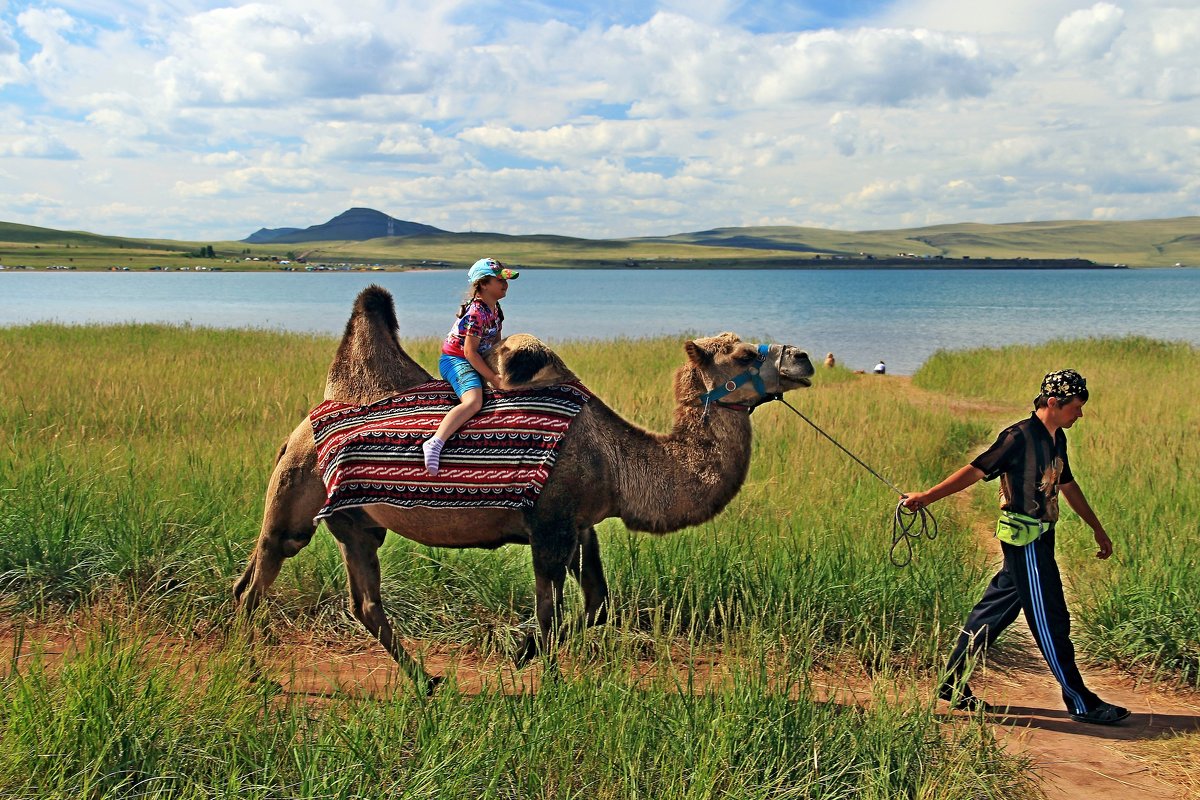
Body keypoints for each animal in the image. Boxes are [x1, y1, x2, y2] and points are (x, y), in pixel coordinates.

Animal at [234, 284, 816, 690]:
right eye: (743, 355)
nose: (803, 358)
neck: (617, 462)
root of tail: (297, 432)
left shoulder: (580, 526)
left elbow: (597, 605)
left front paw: (526, 656)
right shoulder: (549, 524)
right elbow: (550, 615)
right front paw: (538, 673)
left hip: (355, 522)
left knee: (362, 603)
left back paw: (426, 682)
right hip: (297, 492)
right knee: (258, 579)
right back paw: (253, 674)